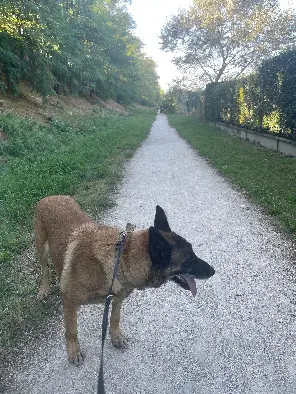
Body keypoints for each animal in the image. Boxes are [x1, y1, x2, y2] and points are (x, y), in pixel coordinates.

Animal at [34, 195, 215, 364]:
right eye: (189, 260)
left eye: (193, 253)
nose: (213, 271)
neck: (118, 261)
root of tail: (51, 197)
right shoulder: (69, 302)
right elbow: (71, 330)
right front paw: (73, 351)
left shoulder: (117, 299)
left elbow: (115, 318)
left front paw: (115, 337)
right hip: (41, 249)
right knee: (44, 269)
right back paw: (43, 289)